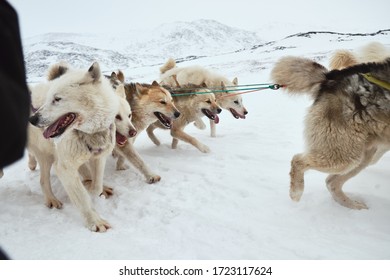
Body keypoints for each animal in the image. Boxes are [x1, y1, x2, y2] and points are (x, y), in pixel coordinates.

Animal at [29, 61, 132, 232]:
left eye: (57, 99)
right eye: (49, 98)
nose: (32, 119)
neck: (88, 133)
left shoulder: (99, 158)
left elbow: (96, 186)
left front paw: (93, 188)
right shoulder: (64, 167)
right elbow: (82, 197)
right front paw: (94, 221)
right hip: (46, 157)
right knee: (43, 180)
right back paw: (51, 199)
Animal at [272, 56, 390, 210]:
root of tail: (331, 77)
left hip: (360, 156)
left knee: (331, 182)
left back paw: (353, 206)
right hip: (343, 155)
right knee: (298, 160)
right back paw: (296, 193)